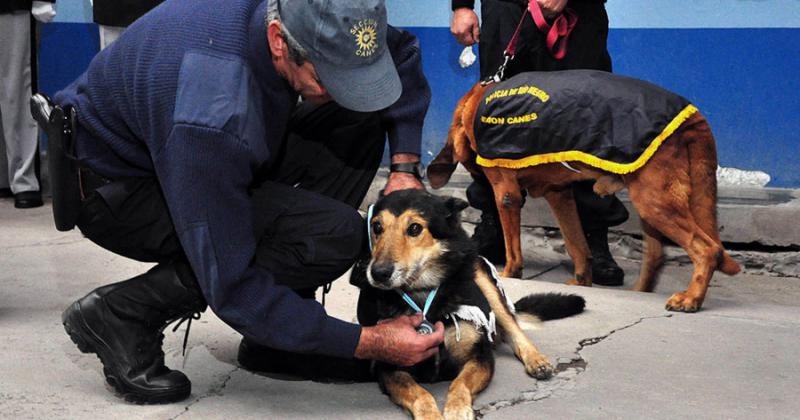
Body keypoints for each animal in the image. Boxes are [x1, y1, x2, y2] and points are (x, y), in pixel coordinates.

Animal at [354, 191, 584, 420]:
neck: (423, 293)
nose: (378, 273)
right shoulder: (390, 366)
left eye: (414, 228)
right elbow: (420, 393)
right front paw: (431, 416)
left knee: (514, 329)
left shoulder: (479, 358)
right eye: (376, 227)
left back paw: (537, 360)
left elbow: (460, 384)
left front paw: (457, 410)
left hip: (485, 282)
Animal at [428, 72, 740, 314]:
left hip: (655, 202)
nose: (476, 185)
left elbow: (513, 248)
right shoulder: (560, 194)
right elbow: (576, 244)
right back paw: (640, 291)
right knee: (656, 255)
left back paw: (691, 298)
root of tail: (693, 118)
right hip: (652, 202)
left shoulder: (507, 193)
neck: (476, 102)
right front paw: (581, 281)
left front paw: (509, 274)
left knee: (707, 249)